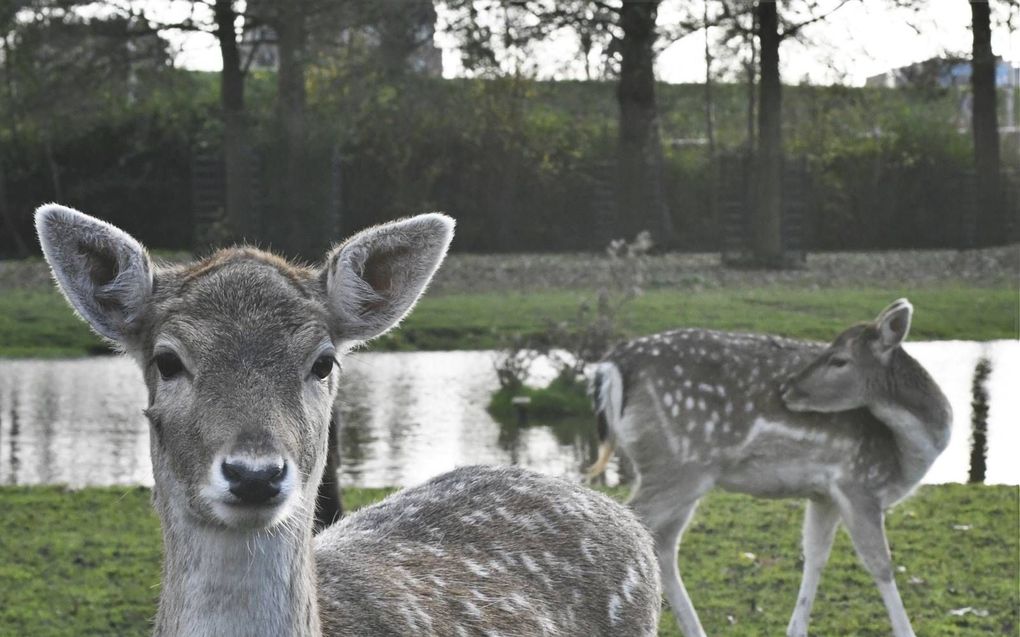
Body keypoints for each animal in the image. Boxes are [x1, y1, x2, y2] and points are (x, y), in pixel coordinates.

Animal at [587, 299, 950, 635]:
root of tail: (614, 365)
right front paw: (906, 631)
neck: (905, 454)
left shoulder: (825, 494)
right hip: (677, 465)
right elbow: (881, 564)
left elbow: (815, 556)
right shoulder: (859, 482)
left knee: (663, 544)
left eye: (839, 358)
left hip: (681, 472)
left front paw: (796, 629)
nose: (788, 388)